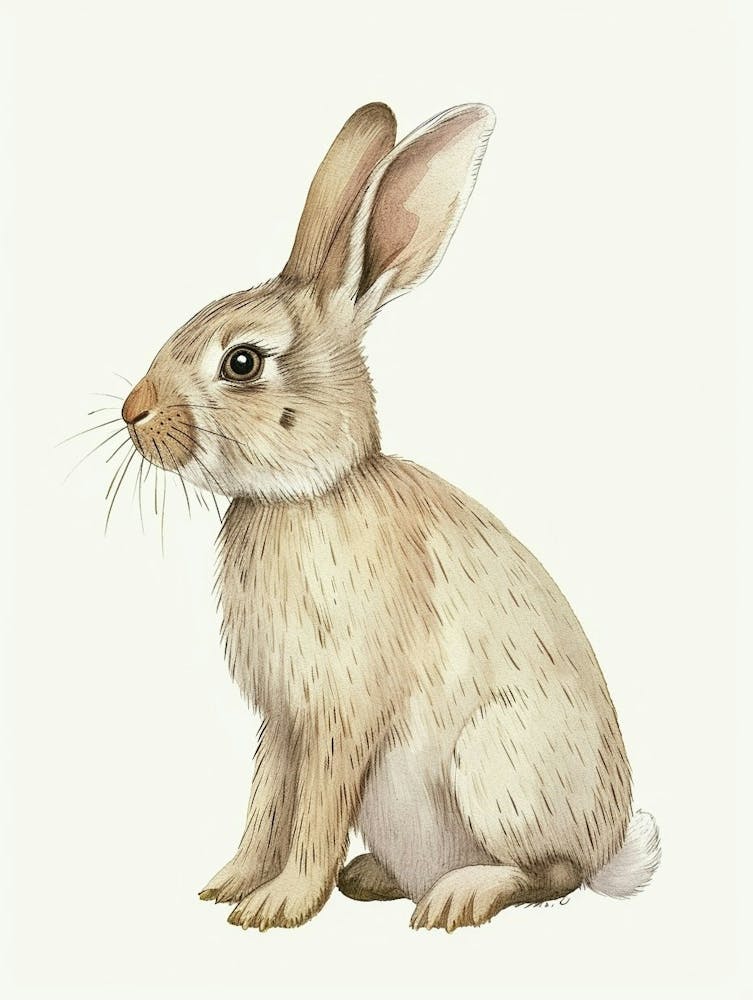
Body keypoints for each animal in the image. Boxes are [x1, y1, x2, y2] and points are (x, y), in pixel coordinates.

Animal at [120, 102, 660, 931]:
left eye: (242, 362)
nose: (132, 412)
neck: (311, 493)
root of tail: (614, 851)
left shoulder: (340, 712)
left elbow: (313, 815)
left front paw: (278, 906)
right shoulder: (283, 720)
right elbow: (266, 803)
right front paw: (231, 883)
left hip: (492, 762)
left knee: (554, 872)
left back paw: (457, 896)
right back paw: (375, 876)